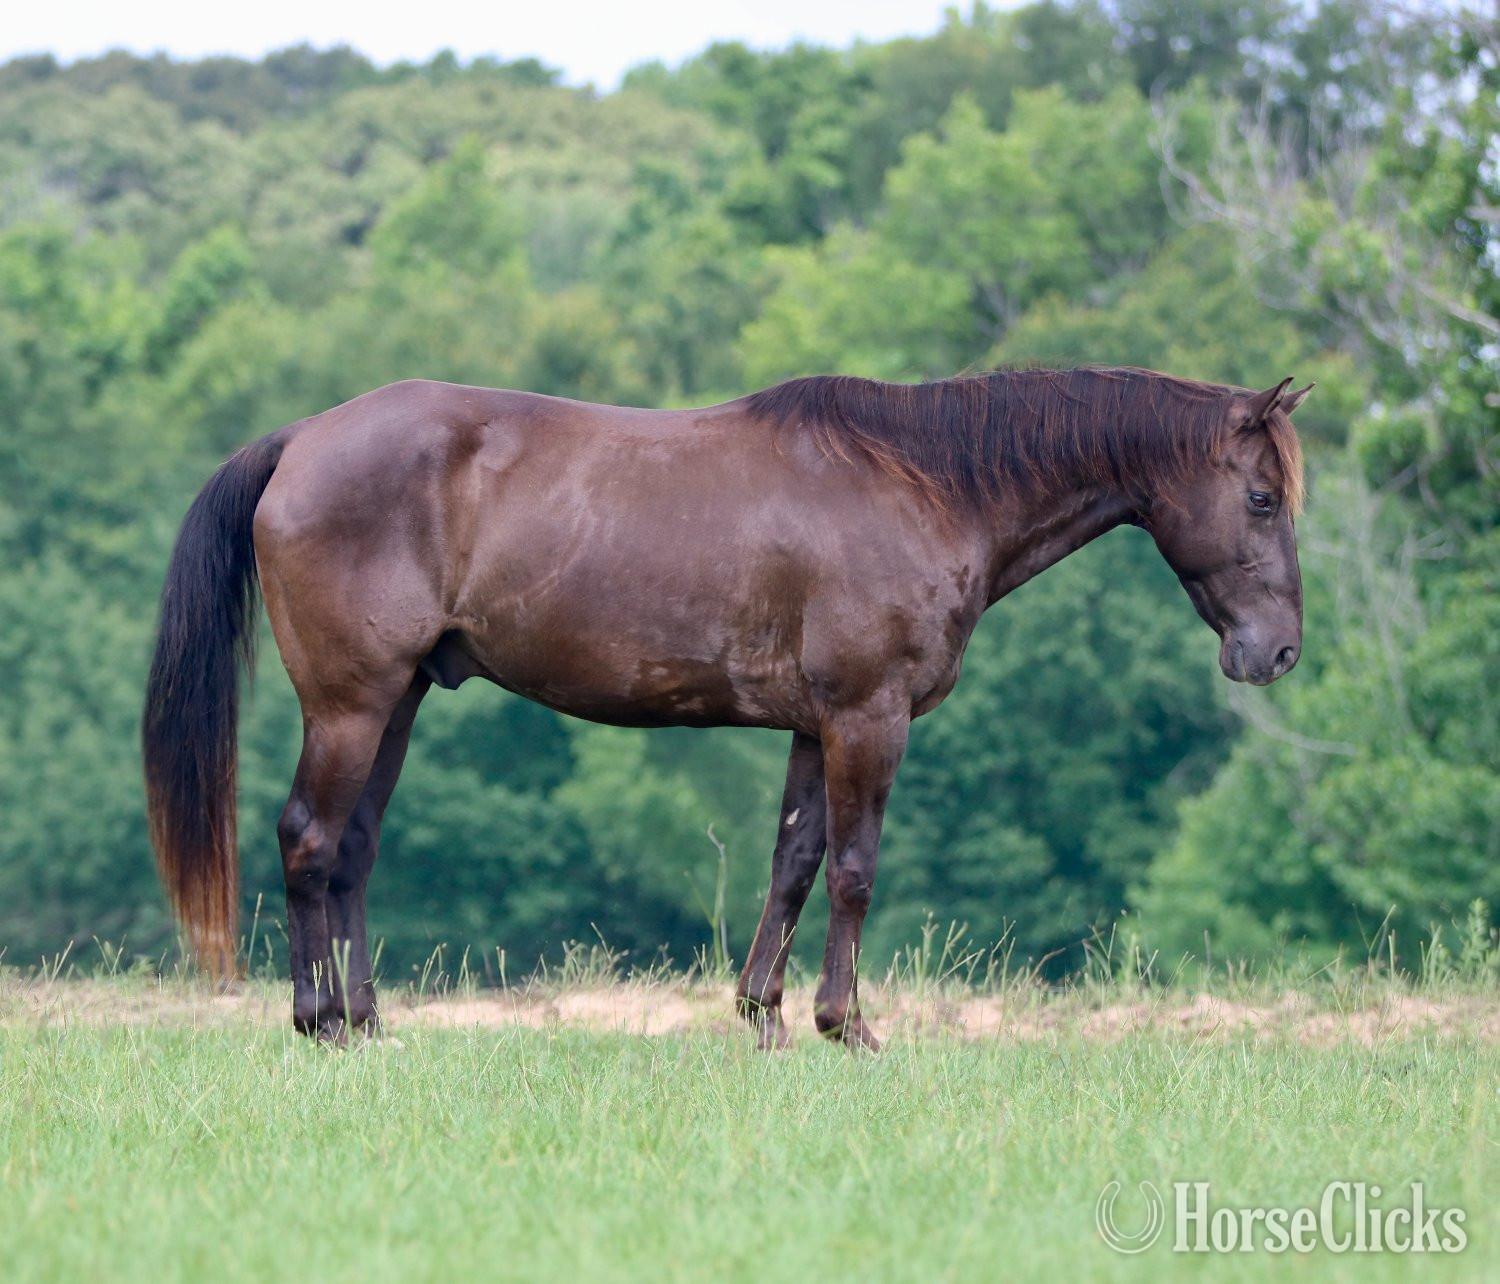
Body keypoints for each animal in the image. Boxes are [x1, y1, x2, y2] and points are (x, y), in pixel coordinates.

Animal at [142, 366, 1311, 1047]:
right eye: (1261, 497)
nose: (1278, 651)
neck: (923, 482)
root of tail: (301, 440)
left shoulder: (813, 725)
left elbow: (792, 862)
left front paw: (764, 1020)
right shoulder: (868, 718)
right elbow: (852, 870)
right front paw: (847, 1027)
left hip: (399, 704)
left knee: (352, 850)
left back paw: (369, 1023)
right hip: (351, 703)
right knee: (309, 839)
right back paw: (319, 1025)